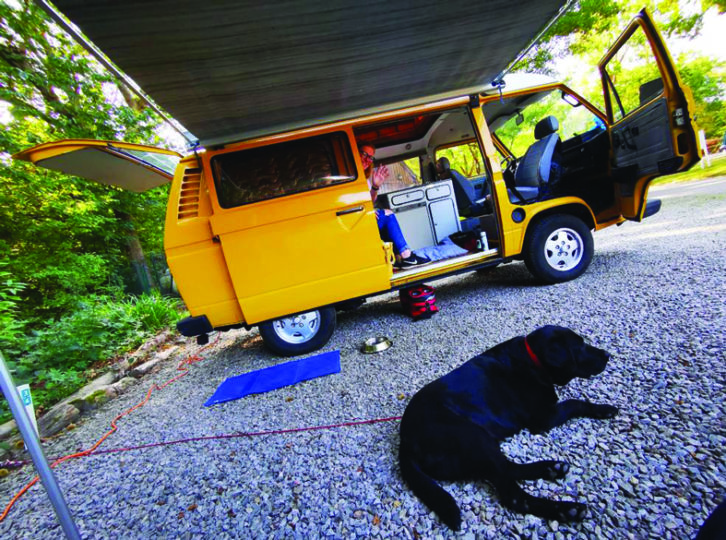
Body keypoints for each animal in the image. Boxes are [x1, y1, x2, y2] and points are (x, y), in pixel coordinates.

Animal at [398, 324, 620, 532]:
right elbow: (574, 403)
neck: (533, 361)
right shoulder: (543, 418)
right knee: (514, 495)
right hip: (473, 437)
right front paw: (603, 408)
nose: (607, 355)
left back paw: (551, 468)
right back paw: (566, 509)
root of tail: (405, 441)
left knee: (508, 468)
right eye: (579, 345)